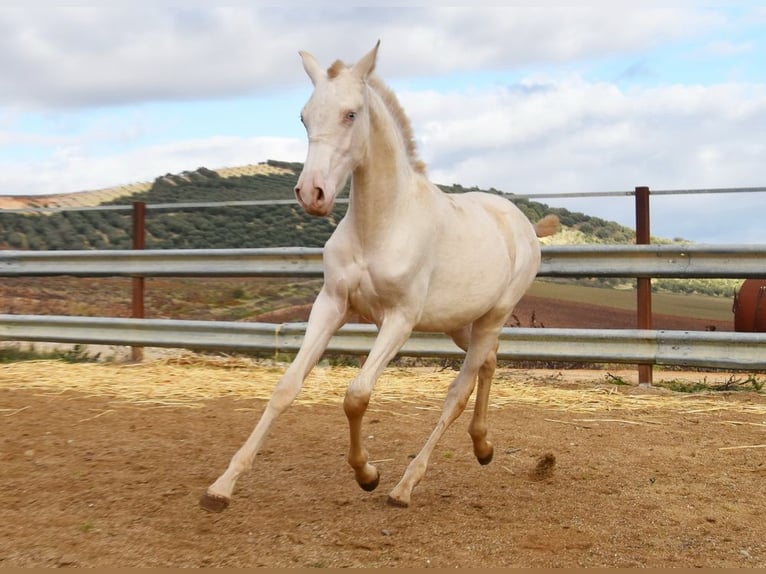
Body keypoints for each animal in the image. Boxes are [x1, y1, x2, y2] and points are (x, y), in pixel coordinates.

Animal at [198, 42, 560, 516]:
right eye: (303, 116)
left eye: (351, 114)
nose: (312, 193)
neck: (381, 224)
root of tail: (523, 224)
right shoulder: (331, 304)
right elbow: (286, 387)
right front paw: (222, 486)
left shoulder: (399, 319)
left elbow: (357, 395)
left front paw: (367, 474)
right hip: (461, 323)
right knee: (489, 362)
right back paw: (482, 447)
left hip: (493, 317)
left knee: (457, 392)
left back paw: (405, 485)